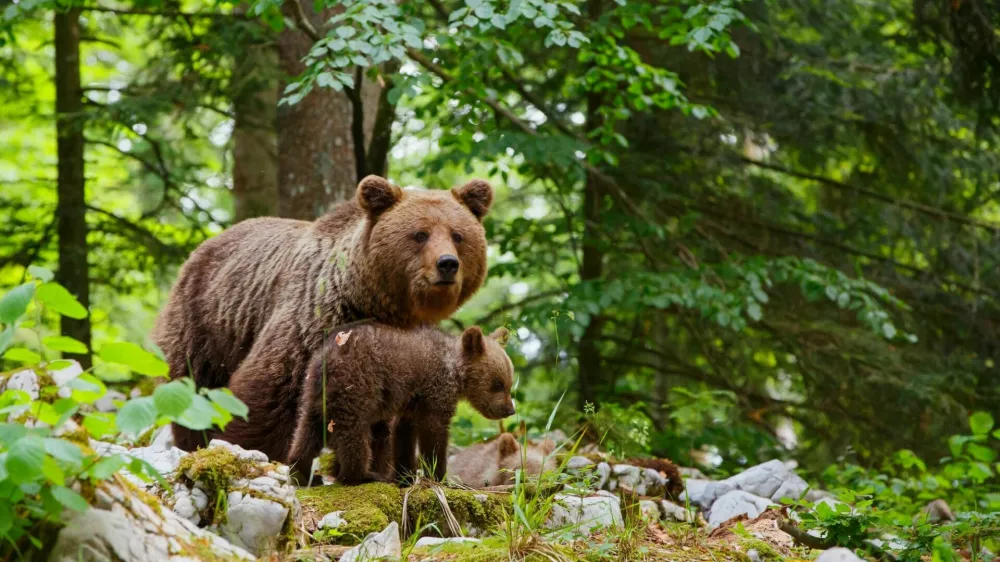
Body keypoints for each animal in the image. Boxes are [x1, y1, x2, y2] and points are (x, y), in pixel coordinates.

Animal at [153, 175, 494, 456]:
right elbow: (269, 390)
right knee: (194, 386)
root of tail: (207, 242)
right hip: (207, 319)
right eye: (420, 234)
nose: (447, 263)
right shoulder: (314, 319)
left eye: (458, 235)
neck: (376, 302)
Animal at [284, 324, 516, 485]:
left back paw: (303, 471)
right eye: (498, 383)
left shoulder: (411, 403)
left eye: (509, 382)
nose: (510, 410)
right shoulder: (435, 390)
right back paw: (362, 474)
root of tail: (327, 359)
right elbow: (434, 431)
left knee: (308, 430)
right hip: (356, 385)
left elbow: (403, 433)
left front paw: (405, 475)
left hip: (313, 393)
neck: (455, 371)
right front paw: (438, 474)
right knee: (354, 433)